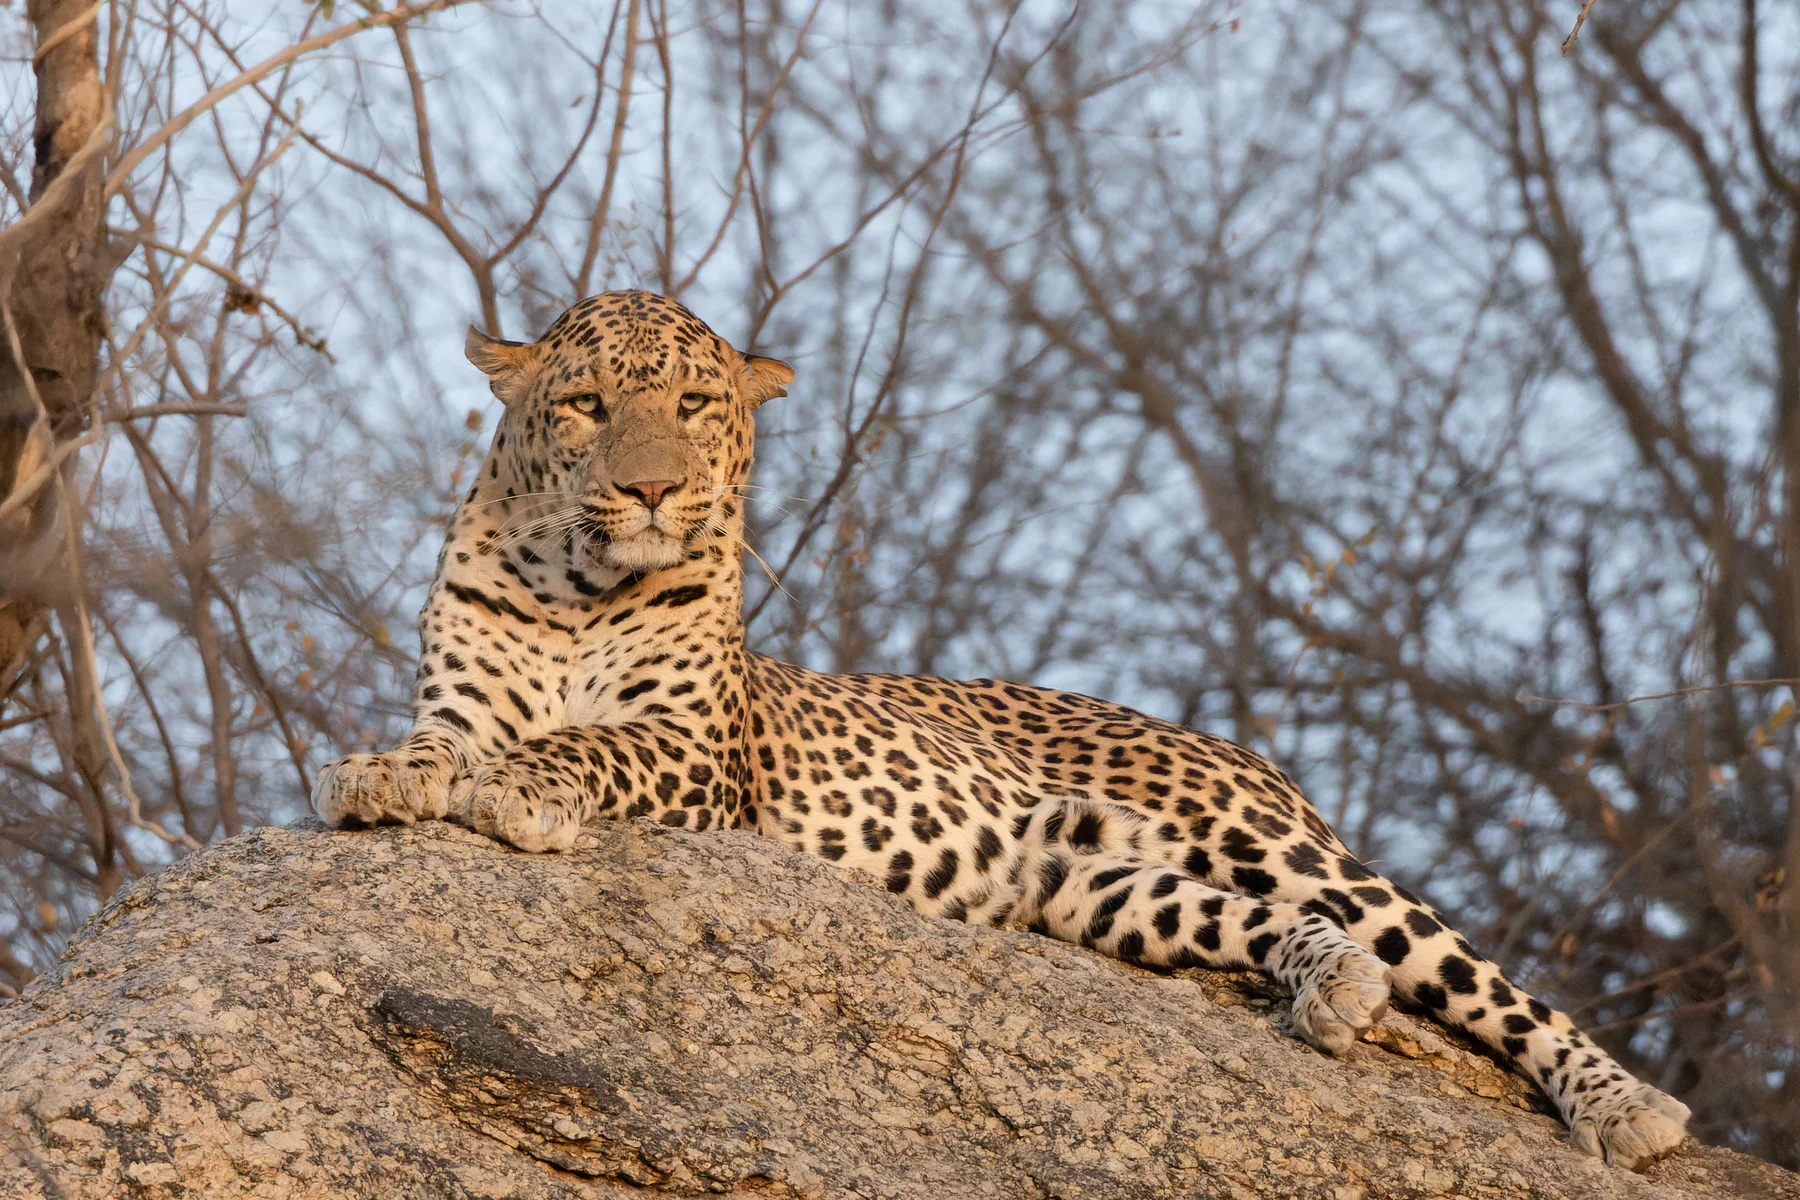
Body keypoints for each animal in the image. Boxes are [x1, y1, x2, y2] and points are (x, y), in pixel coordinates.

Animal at [313, 288, 1692, 1170]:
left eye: (698, 404)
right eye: (589, 406)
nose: (651, 489)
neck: (574, 587)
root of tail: (1232, 747)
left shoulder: (698, 753)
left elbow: (583, 744)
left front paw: (521, 788)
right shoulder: (461, 698)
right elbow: (442, 743)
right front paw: (382, 775)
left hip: (1277, 844)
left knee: (1487, 982)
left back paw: (1626, 1109)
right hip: (1095, 887)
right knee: (1272, 931)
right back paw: (1331, 991)